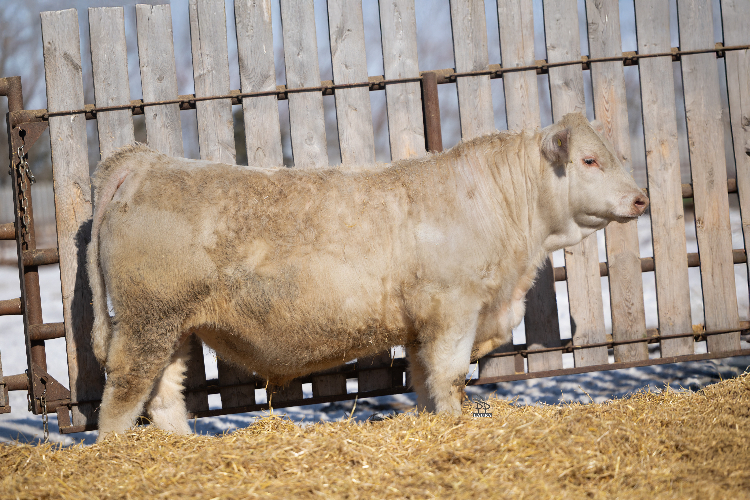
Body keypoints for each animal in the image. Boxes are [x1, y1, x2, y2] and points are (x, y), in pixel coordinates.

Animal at [87, 112, 648, 441]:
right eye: (589, 160)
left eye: (615, 155)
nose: (641, 198)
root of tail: (144, 162)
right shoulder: (453, 308)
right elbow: (449, 374)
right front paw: (455, 423)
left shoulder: (424, 323)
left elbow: (424, 378)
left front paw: (431, 421)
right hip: (146, 319)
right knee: (123, 393)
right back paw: (117, 452)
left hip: (174, 327)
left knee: (164, 392)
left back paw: (181, 446)